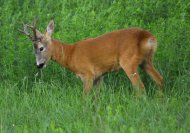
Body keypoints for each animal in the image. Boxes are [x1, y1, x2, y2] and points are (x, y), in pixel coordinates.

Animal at [18, 18, 163, 95]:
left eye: (41, 48)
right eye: (33, 50)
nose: (39, 65)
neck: (71, 54)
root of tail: (147, 37)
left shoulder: (87, 74)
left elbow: (85, 97)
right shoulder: (99, 76)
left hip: (128, 62)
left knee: (140, 87)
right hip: (146, 61)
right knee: (159, 79)